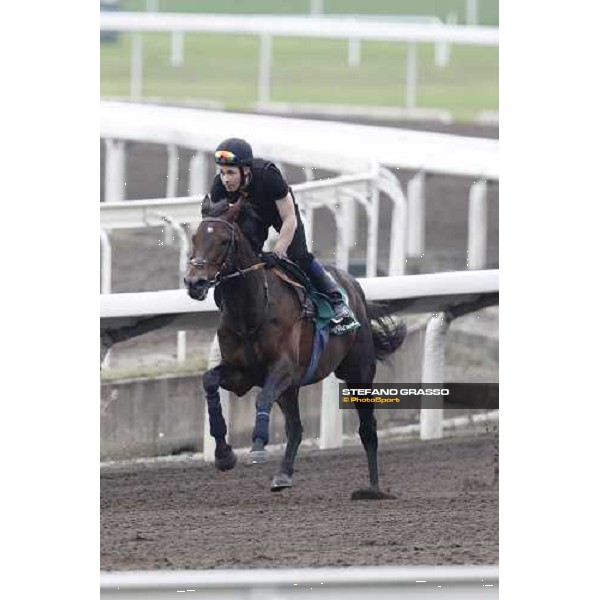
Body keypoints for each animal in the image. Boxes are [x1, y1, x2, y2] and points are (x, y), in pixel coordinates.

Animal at [185, 199, 406, 500]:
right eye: (195, 238)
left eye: (222, 241)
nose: (194, 282)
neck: (252, 310)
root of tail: (353, 283)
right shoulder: (241, 374)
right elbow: (209, 381)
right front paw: (223, 455)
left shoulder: (284, 370)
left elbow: (262, 398)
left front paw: (257, 445)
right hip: (291, 390)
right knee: (297, 427)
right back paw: (283, 474)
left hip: (358, 372)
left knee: (367, 429)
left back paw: (373, 489)